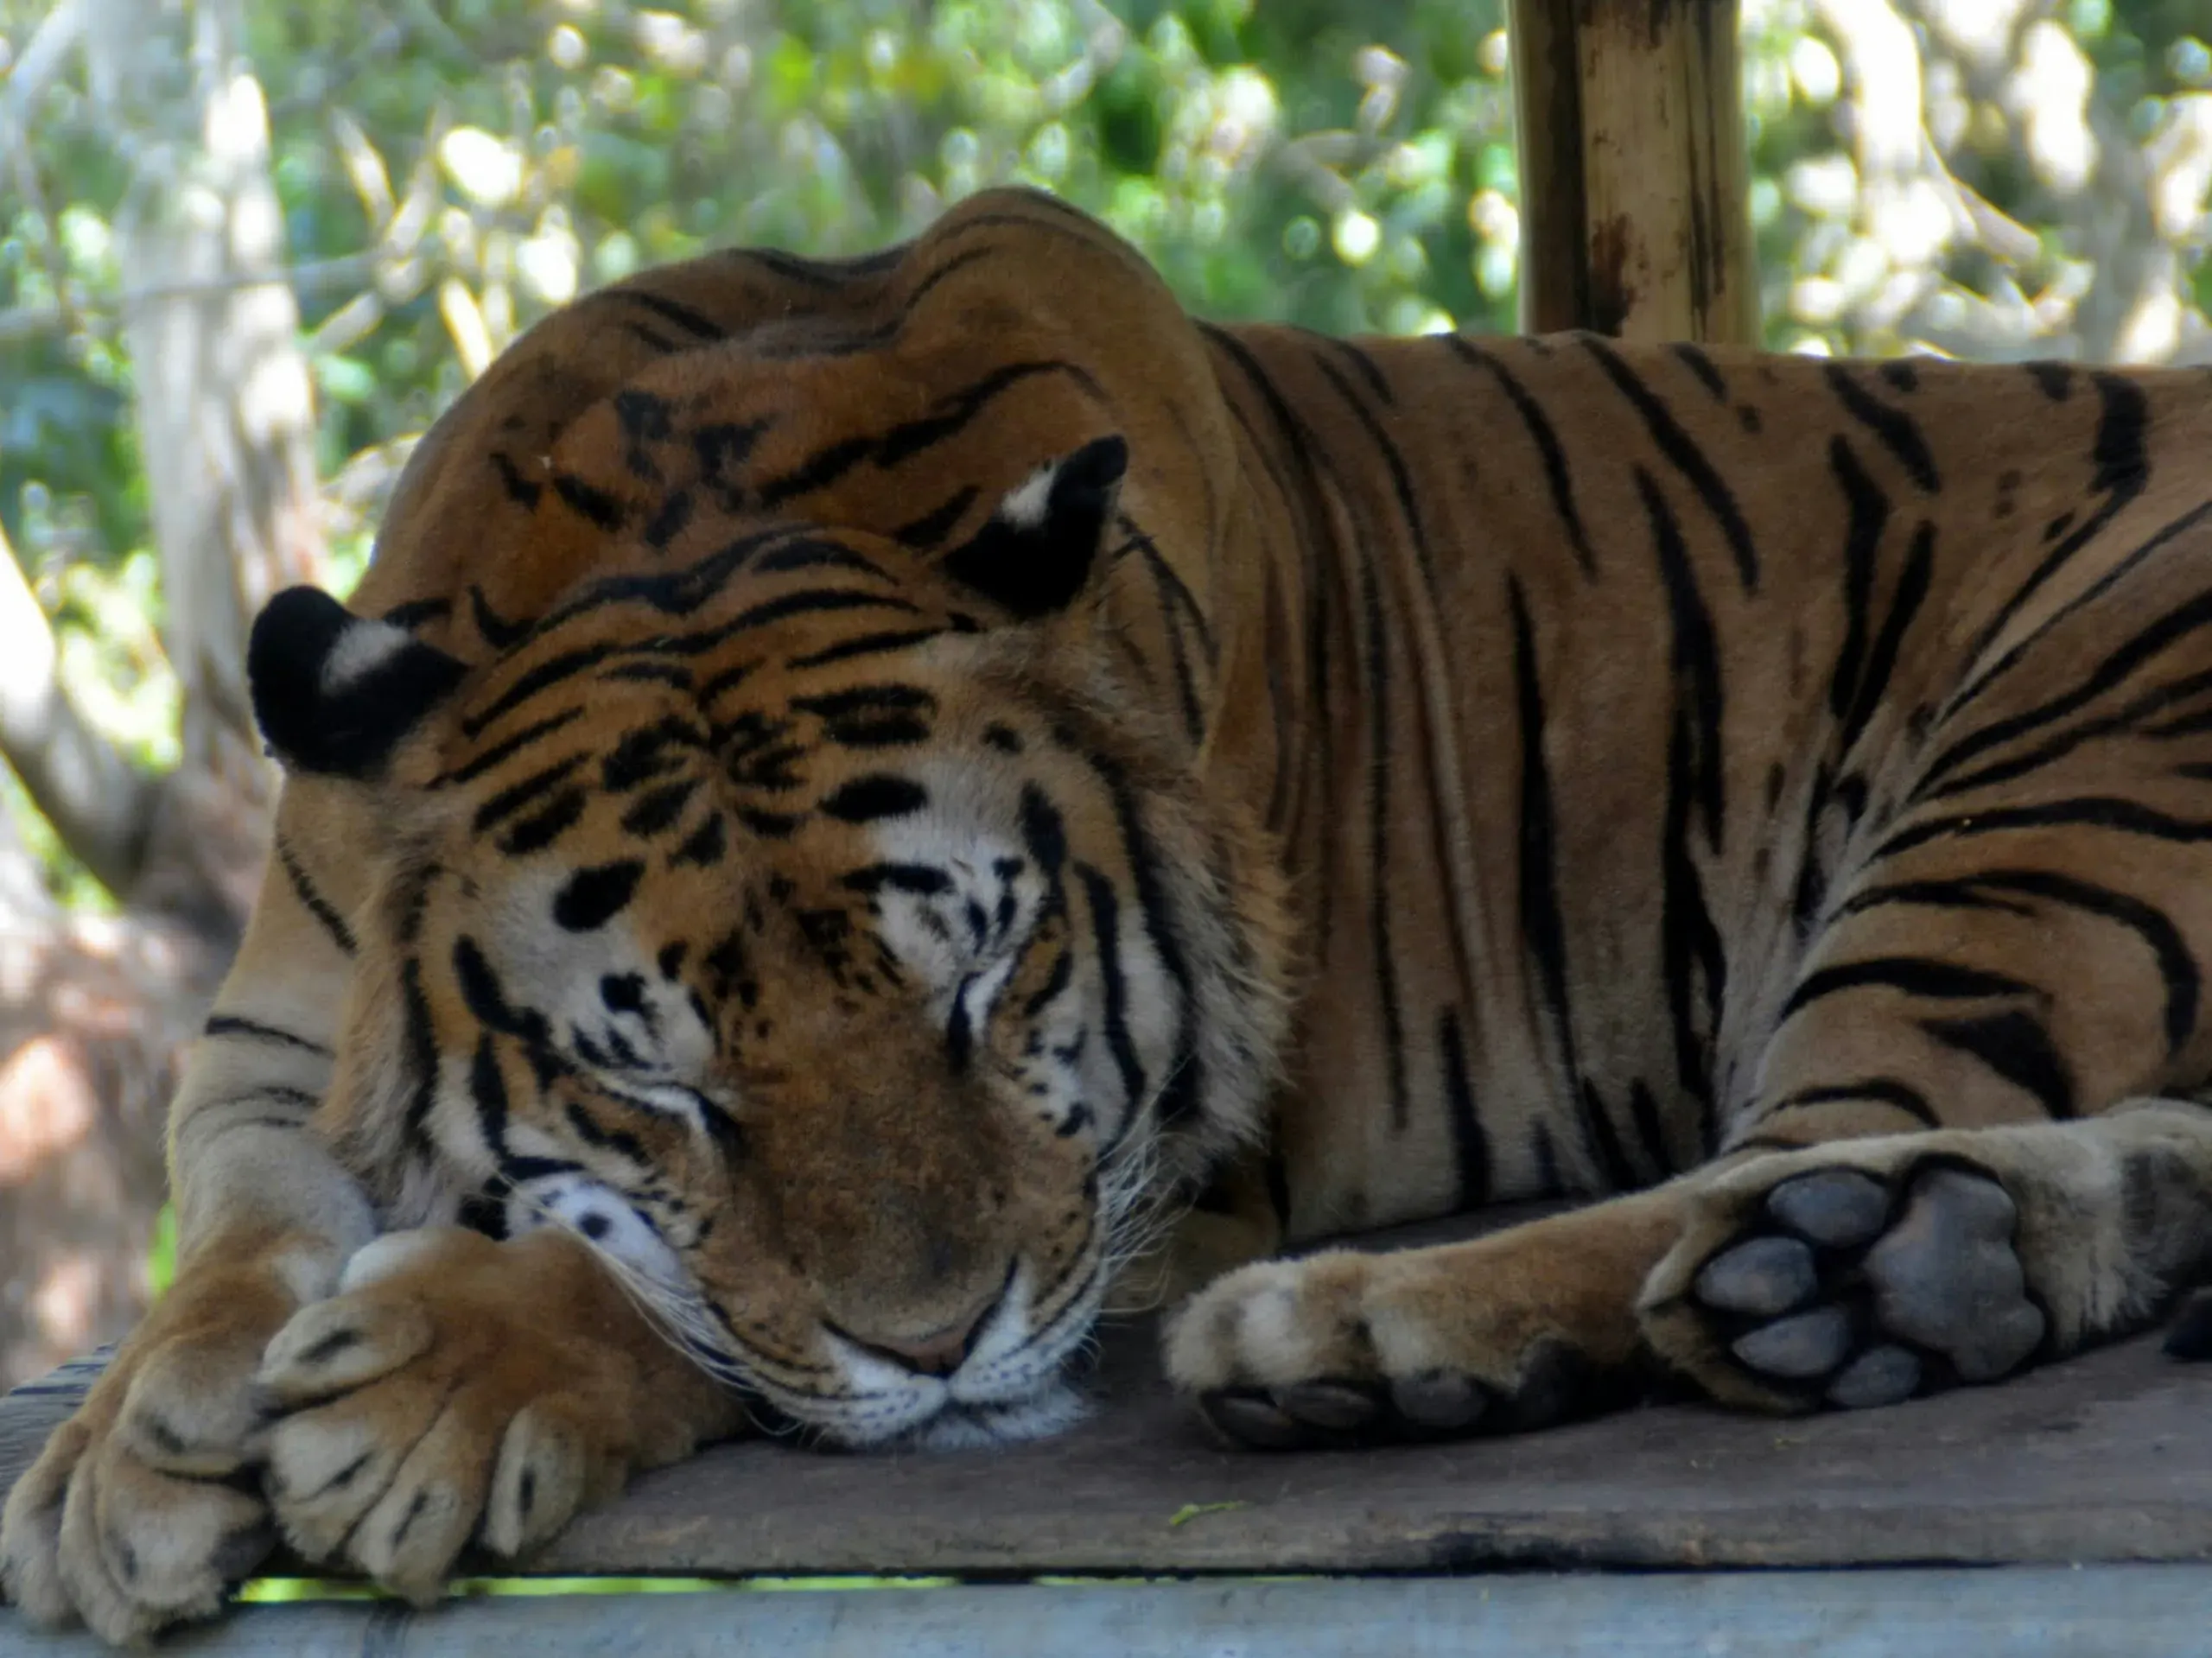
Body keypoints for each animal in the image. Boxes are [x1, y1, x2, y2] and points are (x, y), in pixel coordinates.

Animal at [11, 183, 2212, 1642]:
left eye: (988, 981)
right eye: (661, 1087)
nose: (942, 1343)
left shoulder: (1160, 1172)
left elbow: (689, 1306)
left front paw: (443, 1377)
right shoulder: (268, 1048)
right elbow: (236, 1253)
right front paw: (118, 1461)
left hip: (2058, 761)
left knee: (1776, 1164)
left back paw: (1384, 1329)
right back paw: (1918, 1268)